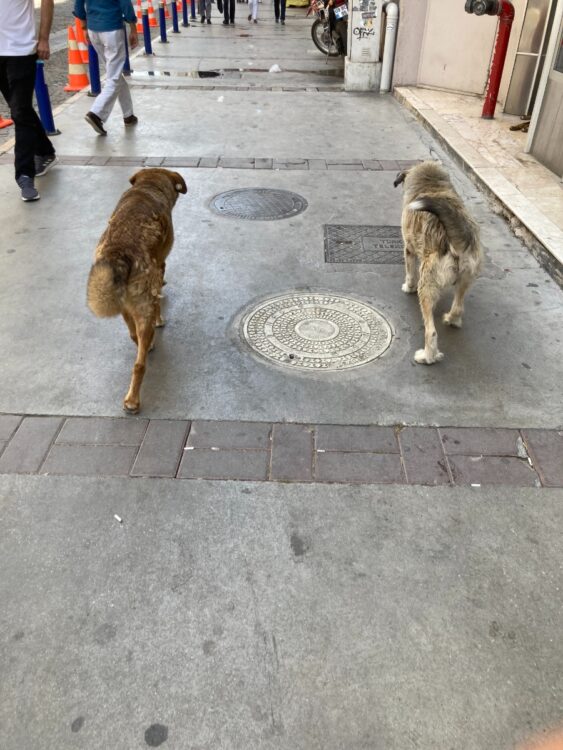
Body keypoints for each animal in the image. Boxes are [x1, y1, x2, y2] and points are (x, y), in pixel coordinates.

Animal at [86, 168, 187, 414]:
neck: (148, 186)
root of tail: (120, 252)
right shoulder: (160, 264)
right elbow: (159, 293)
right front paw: (161, 318)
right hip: (143, 305)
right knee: (140, 363)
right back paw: (134, 399)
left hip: (126, 307)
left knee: (134, 336)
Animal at [394, 162, 482, 368]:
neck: (432, 185)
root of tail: (459, 239)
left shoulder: (408, 248)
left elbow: (410, 272)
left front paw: (407, 287)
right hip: (466, 279)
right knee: (458, 307)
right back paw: (452, 319)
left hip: (426, 285)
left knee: (431, 331)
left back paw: (427, 356)